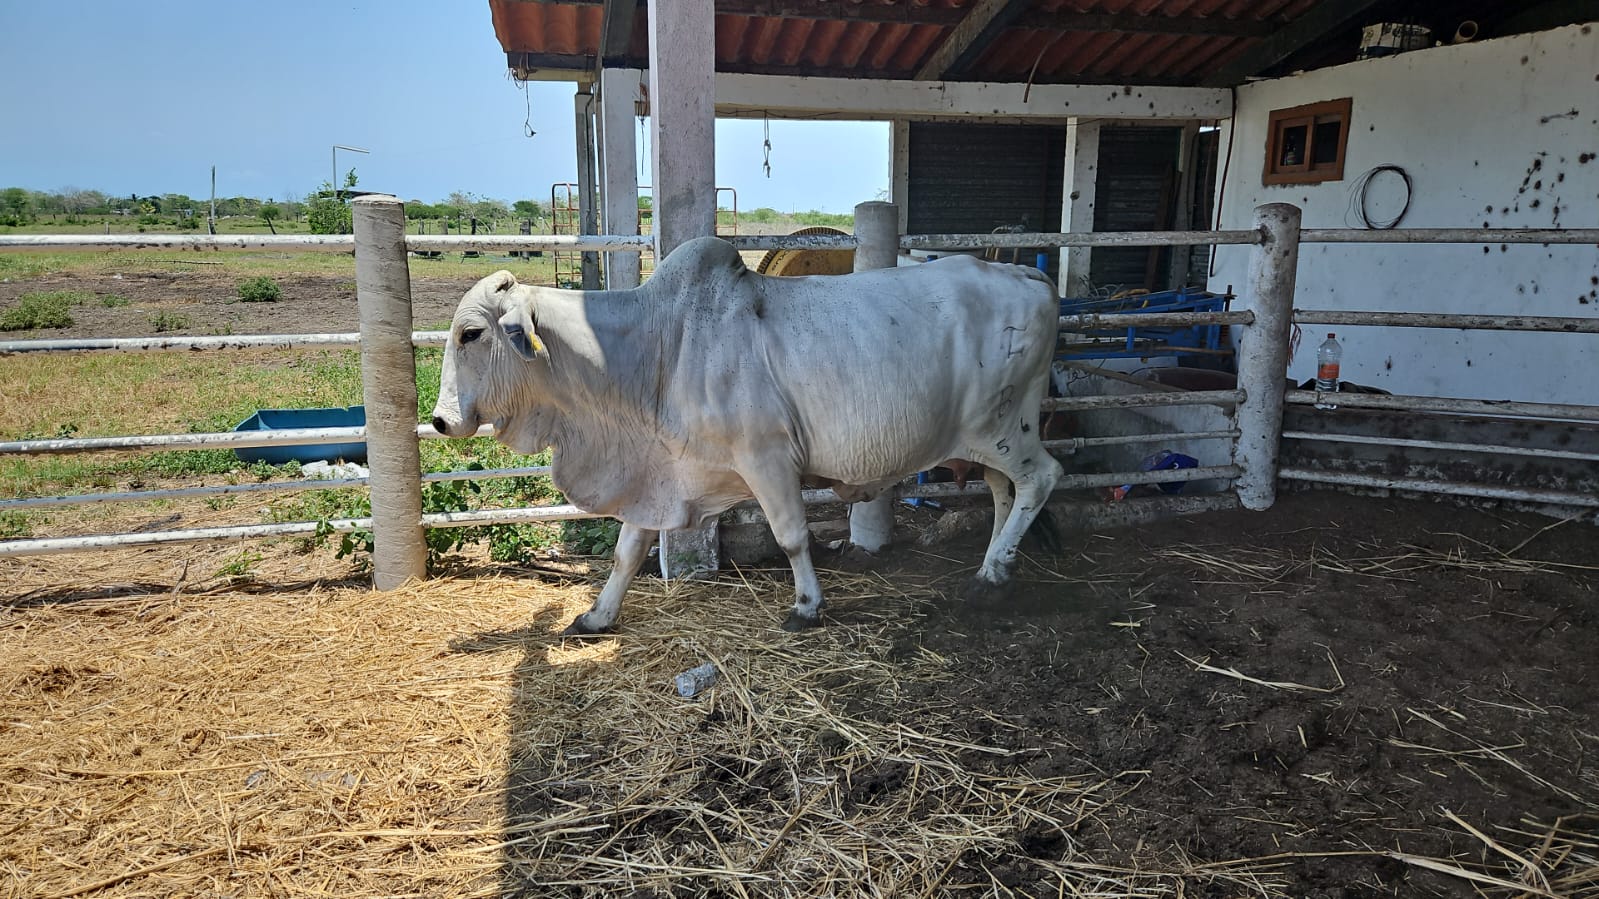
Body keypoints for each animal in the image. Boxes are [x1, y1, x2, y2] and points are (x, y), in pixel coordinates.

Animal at [430, 236, 1063, 634]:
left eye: (470, 334)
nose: (439, 420)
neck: (658, 348)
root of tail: (1029, 275)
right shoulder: (659, 474)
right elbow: (627, 552)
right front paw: (596, 617)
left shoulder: (767, 459)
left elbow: (792, 537)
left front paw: (807, 607)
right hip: (987, 438)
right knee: (1004, 492)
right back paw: (994, 565)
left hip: (1002, 428)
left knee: (1041, 479)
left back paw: (994, 573)